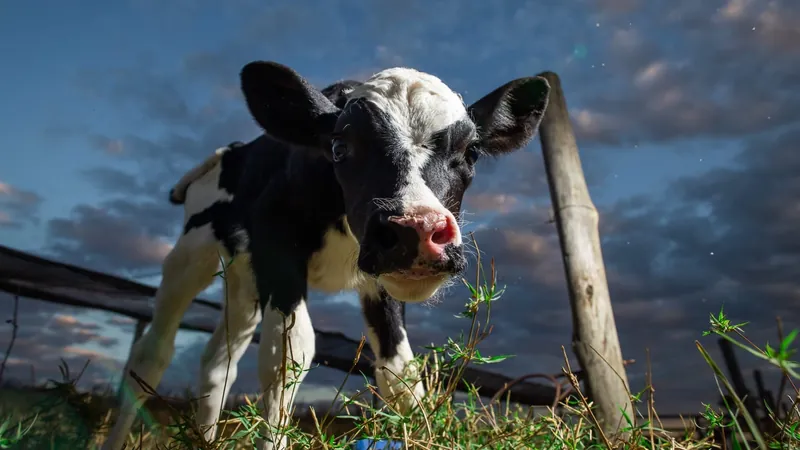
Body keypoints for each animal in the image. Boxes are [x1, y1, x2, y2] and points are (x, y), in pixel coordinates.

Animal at [101, 60, 552, 450]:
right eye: (339, 146)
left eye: (472, 152)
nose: (418, 230)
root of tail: (234, 151)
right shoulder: (280, 246)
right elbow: (289, 357)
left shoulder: (378, 281)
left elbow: (401, 375)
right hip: (191, 252)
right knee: (152, 356)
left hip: (244, 278)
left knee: (219, 360)